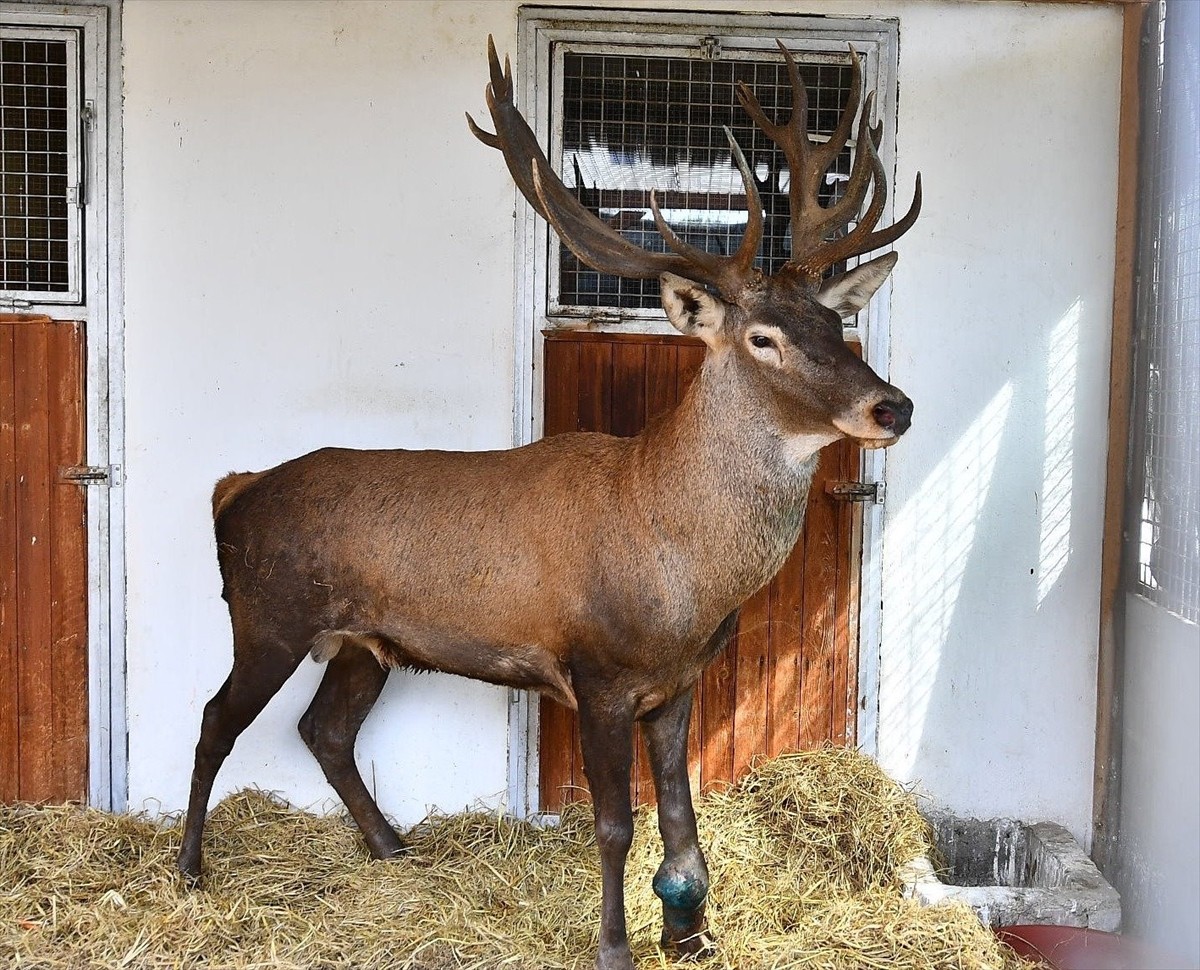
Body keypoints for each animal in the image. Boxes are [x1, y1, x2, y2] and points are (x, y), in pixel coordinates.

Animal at [175, 36, 916, 969]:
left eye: (836, 327)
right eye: (763, 338)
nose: (893, 407)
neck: (683, 572)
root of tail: (231, 489)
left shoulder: (678, 681)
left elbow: (682, 820)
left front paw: (691, 930)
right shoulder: (596, 670)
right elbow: (614, 824)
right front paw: (616, 946)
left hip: (365, 644)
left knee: (324, 731)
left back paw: (392, 847)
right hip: (268, 614)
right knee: (216, 719)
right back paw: (190, 868)